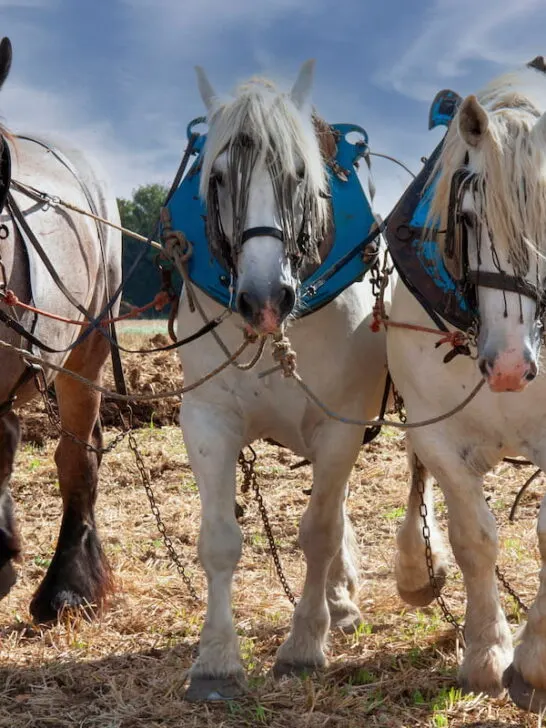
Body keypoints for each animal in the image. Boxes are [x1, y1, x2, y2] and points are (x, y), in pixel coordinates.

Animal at [176, 61, 391, 700]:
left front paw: (303, 644)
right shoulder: (207, 419)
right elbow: (220, 539)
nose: (265, 299)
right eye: (218, 177)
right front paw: (216, 659)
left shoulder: (341, 423)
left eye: (299, 174)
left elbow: (318, 531)